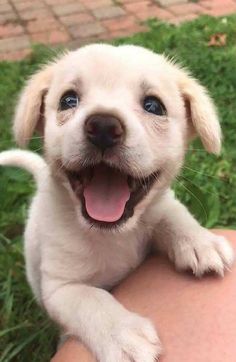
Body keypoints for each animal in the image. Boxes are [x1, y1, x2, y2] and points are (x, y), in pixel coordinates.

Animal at [0, 43, 233, 360]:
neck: (113, 236)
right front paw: (122, 335)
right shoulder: (60, 288)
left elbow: (172, 213)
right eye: (68, 100)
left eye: (153, 106)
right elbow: (91, 299)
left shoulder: (158, 207)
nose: (103, 126)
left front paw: (200, 241)